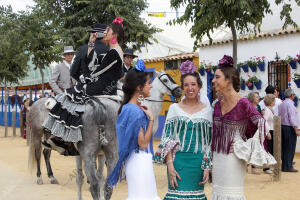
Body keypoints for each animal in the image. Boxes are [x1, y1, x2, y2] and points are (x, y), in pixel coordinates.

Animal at [27, 70, 180, 200]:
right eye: (165, 79)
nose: (179, 90)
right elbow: (87, 177)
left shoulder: (96, 153)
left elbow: (92, 177)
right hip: (37, 134)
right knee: (38, 154)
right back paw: (40, 177)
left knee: (46, 154)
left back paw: (51, 177)